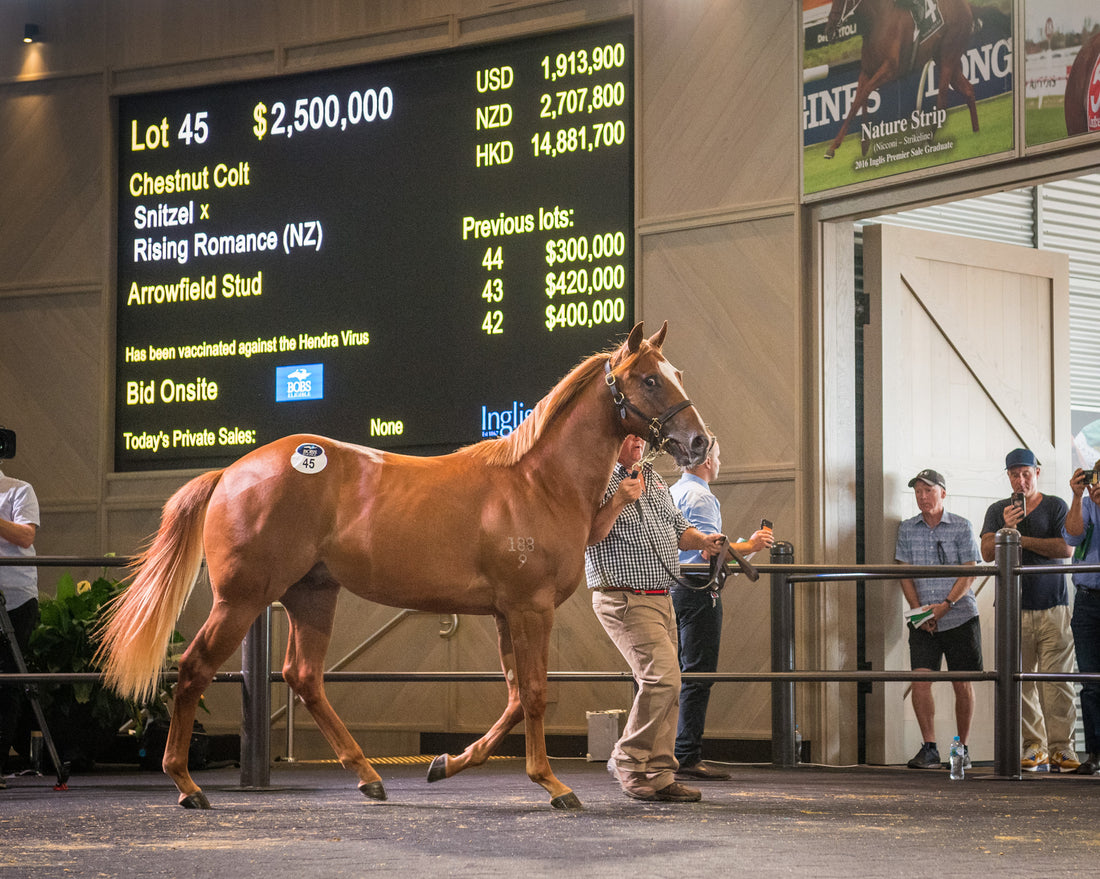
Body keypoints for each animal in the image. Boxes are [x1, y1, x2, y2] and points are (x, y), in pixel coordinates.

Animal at [99, 323, 708, 809]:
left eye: (677, 373)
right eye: (648, 380)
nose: (698, 442)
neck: (539, 483)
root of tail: (230, 472)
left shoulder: (507, 614)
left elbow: (516, 698)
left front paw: (446, 765)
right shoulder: (530, 610)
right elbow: (533, 694)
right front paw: (554, 786)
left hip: (311, 594)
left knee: (303, 676)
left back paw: (368, 776)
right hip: (242, 598)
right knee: (194, 668)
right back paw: (187, 786)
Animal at [827, 0, 981, 159]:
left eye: (841, 1)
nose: (829, 30)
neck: (877, 21)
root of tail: (967, 7)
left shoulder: (889, 70)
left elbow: (861, 97)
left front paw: (833, 148)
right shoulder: (867, 71)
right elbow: (859, 100)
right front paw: (863, 145)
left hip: (948, 57)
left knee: (942, 102)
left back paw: (928, 141)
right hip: (947, 61)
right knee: (968, 89)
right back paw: (976, 133)